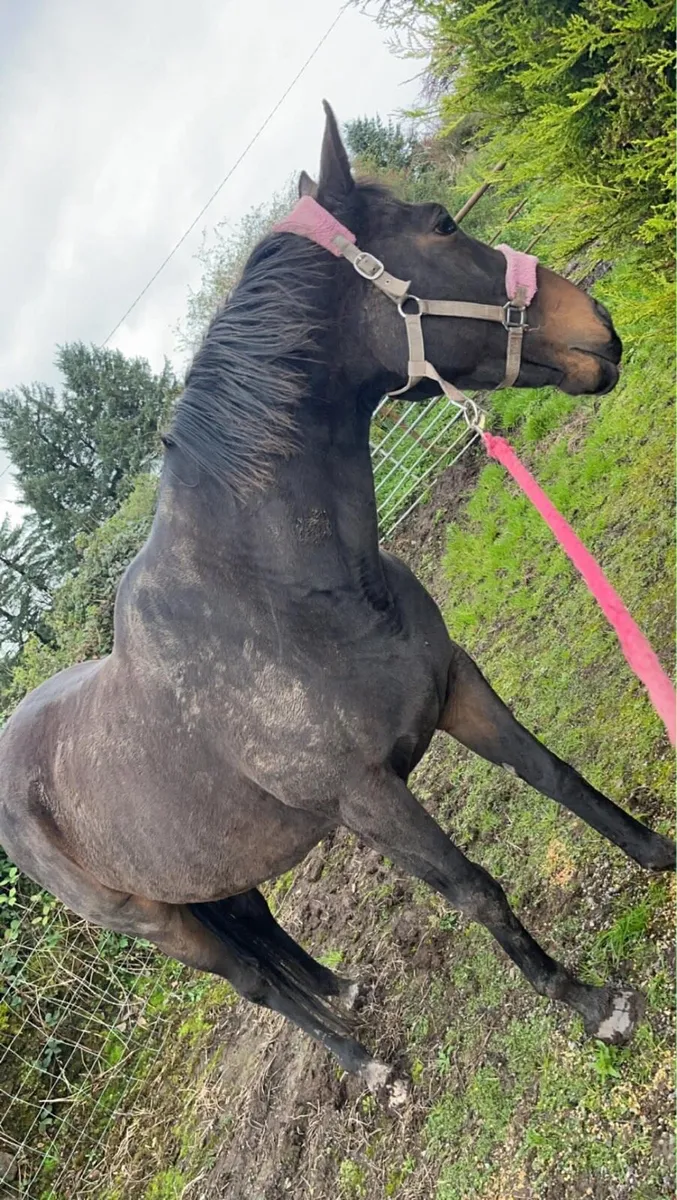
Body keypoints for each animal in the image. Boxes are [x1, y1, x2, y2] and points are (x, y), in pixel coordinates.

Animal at [1, 103, 673, 1104]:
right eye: (441, 225)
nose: (596, 327)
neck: (279, 595)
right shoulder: (366, 799)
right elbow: (473, 890)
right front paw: (591, 1005)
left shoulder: (457, 685)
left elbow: (554, 775)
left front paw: (662, 858)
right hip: (159, 923)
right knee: (251, 982)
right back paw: (370, 1067)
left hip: (213, 871)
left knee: (270, 941)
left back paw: (346, 991)